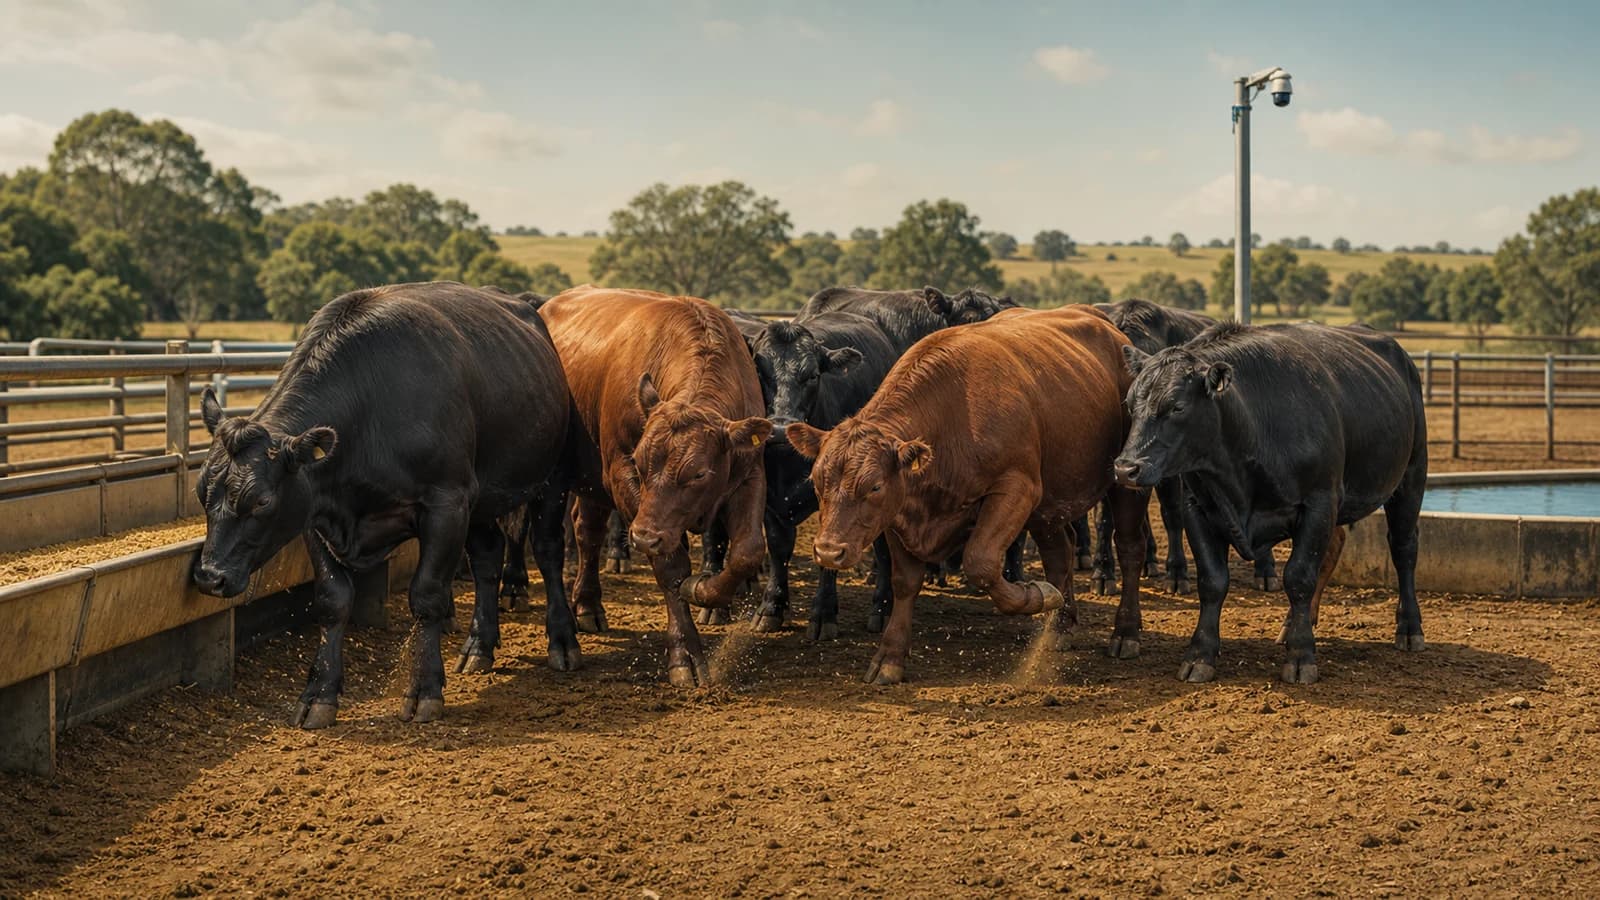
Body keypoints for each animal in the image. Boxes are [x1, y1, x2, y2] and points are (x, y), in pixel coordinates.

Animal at [192, 282, 576, 728]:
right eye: (201, 490)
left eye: (261, 500)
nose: (209, 577)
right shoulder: (315, 512)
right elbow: (333, 599)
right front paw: (319, 694)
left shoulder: (446, 504)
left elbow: (427, 596)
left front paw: (424, 689)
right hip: (481, 498)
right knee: (486, 558)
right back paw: (479, 645)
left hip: (552, 478)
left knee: (548, 550)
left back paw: (563, 641)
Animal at [539, 285, 771, 686]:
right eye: (640, 462)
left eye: (699, 474)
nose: (643, 537)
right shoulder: (621, 478)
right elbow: (671, 568)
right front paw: (685, 655)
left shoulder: (749, 475)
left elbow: (746, 552)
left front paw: (702, 589)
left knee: (588, 533)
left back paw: (588, 605)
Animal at [788, 305, 1149, 684]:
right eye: (816, 479)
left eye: (875, 486)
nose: (829, 552)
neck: (953, 417)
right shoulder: (899, 513)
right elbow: (905, 583)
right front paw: (890, 657)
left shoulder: (1017, 488)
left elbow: (981, 563)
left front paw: (1034, 596)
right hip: (1049, 505)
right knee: (1059, 553)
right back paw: (1060, 628)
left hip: (1125, 481)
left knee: (1129, 550)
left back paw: (1125, 633)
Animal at [1114, 321, 1427, 684]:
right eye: (1129, 404)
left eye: (1177, 406)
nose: (1126, 468)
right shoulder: (1198, 508)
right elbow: (1212, 581)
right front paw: (1200, 654)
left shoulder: (1319, 502)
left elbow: (1299, 576)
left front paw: (1301, 656)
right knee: (1335, 546)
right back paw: (1292, 624)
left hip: (1411, 476)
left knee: (1404, 548)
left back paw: (1409, 628)